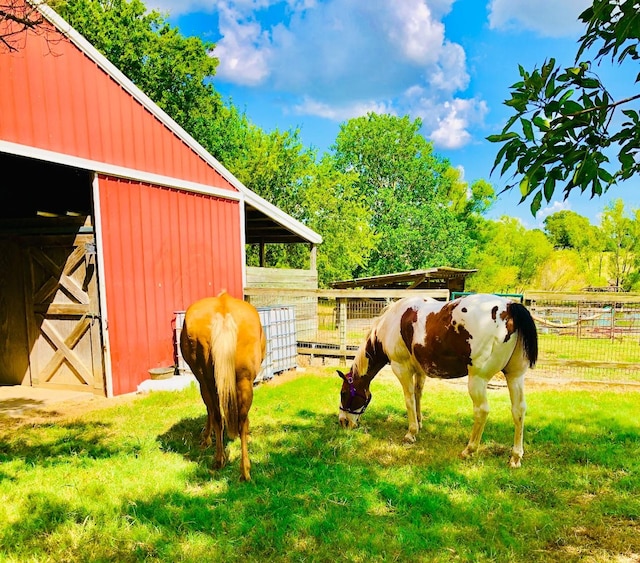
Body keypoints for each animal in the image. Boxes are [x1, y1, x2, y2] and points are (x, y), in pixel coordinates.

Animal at [179, 290, 266, 480]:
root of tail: (223, 309)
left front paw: (206, 438)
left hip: (209, 381)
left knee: (219, 415)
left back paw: (221, 460)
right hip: (239, 381)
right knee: (238, 419)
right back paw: (244, 470)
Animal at [338, 294, 536, 470]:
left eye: (344, 393)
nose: (343, 422)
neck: (390, 324)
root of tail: (509, 306)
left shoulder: (401, 368)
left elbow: (409, 399)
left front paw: (411, 433)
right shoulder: (420, 371)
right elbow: (418, 394)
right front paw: (419, 423)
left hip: (478, 379)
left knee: (482, 411)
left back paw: (469, 450)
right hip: (514, 376)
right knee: (518, 411)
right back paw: (515, 457)